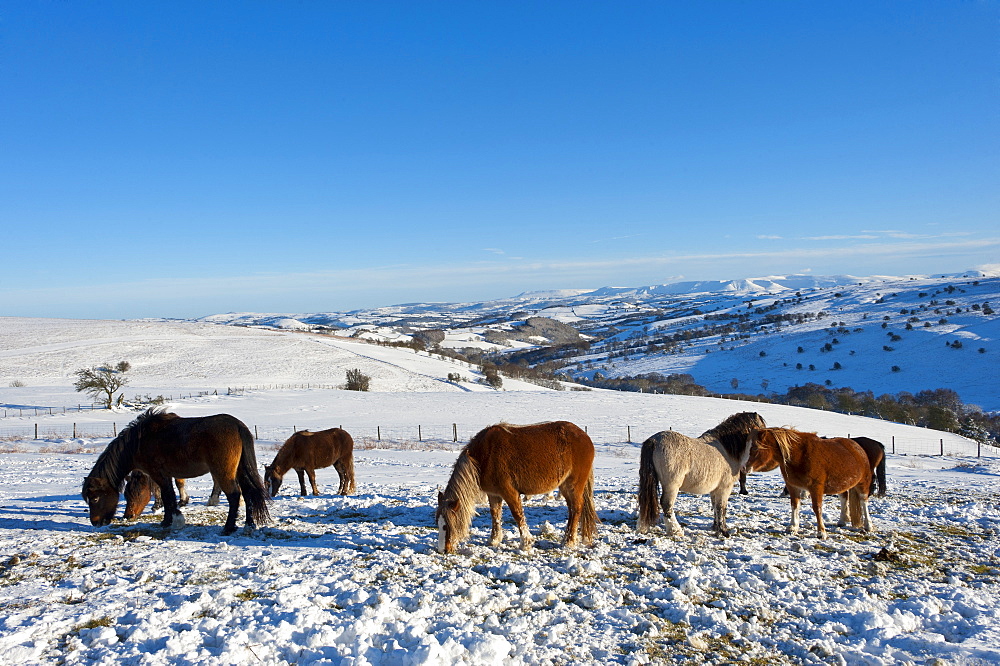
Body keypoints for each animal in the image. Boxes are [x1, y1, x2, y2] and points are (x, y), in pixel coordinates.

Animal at [82, 404, 270, 536]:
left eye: (95, 498)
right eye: (126, 494)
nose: (95, 522)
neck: (139, 441)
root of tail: (238, 426)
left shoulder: (158, 474)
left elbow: (168, 496)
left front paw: (173, 520)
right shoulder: (167, 474)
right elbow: (169, 495)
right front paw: (169, 519)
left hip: (223, 472)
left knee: (234, 495)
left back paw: (228, 528)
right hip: (239, 471)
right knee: (248, 493)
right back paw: (249, 525)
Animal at [436, 422, 592, 552]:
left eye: (447, 525)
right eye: (438, 523)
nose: (443, 550)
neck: (485, 456)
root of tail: (584, 436)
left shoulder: (509, 492)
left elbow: (517, 515)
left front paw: (526, 543)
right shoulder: (493, 494)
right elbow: (495, 514)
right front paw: (494, 540)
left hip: (573, 485)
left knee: (577, 508)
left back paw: (569, 542)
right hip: (564, 486)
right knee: (571, 510)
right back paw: (566, 538)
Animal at [636, 410, 768, 536]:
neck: (726, 449)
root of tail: (654, 440)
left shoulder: (715, 489)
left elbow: (715, 507)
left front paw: (715, 527)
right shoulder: (725, 487)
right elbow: (721, 508)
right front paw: (723, 532)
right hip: (672, 486)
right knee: (667, 505)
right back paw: (676, 531)